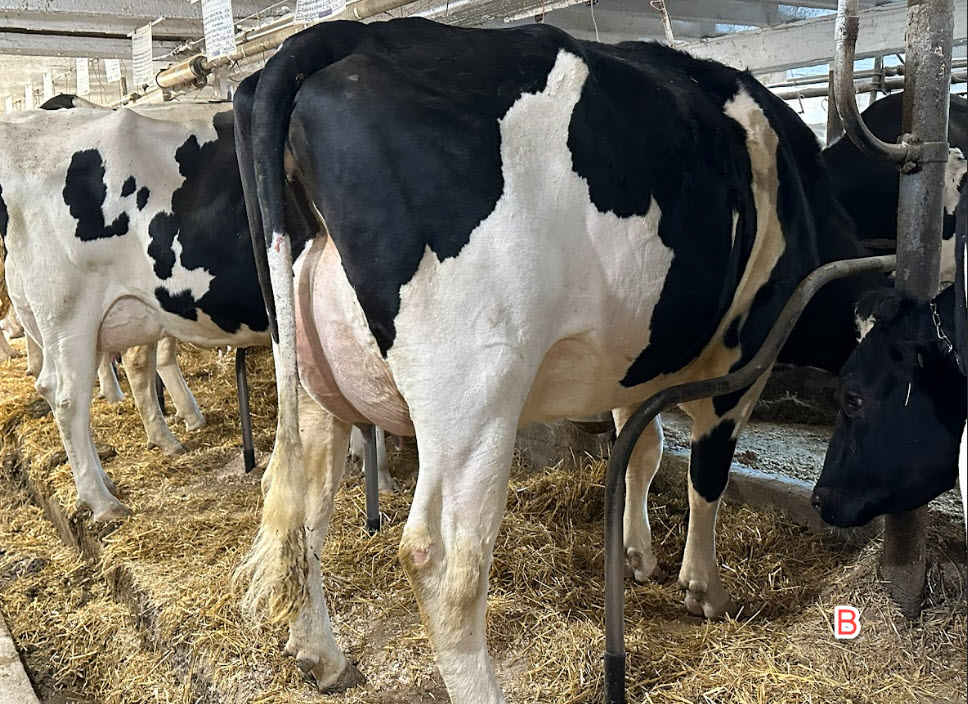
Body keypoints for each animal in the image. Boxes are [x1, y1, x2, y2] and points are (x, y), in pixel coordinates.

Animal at [232, 18, 887, 700]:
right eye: (861, 396)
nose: (838, 503)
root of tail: (344, 35)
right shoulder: (742, 360)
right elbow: (707, 474)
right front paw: (704, 589)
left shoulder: (632, 365)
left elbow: (641, 453)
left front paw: (636, 554)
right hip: (474, 391)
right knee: (442, 558)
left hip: (312, 378)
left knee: (301, 504)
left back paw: (322, 656)